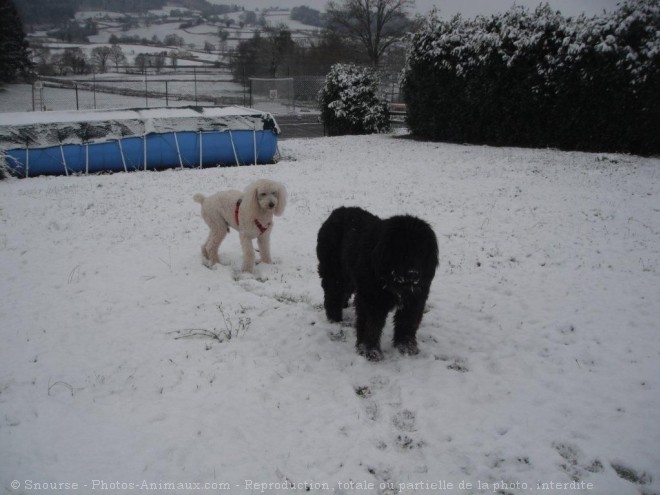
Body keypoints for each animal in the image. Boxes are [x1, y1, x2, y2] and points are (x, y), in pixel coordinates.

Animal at [318, 207, 438, 362]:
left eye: (421, 250)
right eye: (400, 249)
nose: (413, 274)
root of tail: (337, 211)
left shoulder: (414, 300)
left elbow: (407, 323)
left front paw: (406, 347)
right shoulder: (371, 300)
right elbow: (371, 326)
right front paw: (369, 351)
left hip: (348, 276)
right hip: (334, 272)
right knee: (332, 295)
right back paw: (335, 320)